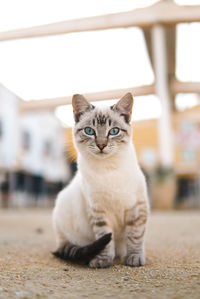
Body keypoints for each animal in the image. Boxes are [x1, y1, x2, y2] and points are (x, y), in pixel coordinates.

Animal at [52, 92, 149, 268]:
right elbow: (105, 238)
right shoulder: (98, 211)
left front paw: (134, 258)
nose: (102, 145)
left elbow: (135, 236)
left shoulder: (137, 207)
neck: (107, 169)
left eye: (114, 131)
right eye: (90, 131)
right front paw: (103, 261)